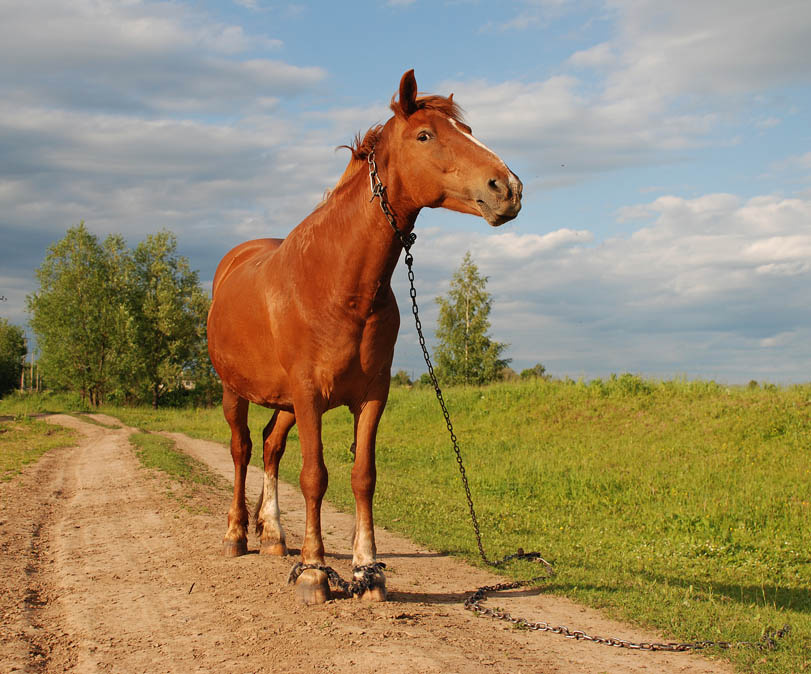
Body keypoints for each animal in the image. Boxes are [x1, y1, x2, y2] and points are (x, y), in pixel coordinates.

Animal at [207, 69, 522, 605]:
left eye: (467, 130)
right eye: (425, 135)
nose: (508, 187)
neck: (337, 281)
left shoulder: (371, 395)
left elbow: (362, 477)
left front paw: (367, 571)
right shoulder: (308, 396)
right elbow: (315, 477)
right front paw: (315, 573)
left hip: (284, 403)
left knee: (270, 448)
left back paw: (274, 536)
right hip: (237, 391)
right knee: (242, 449)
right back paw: (237, 535)